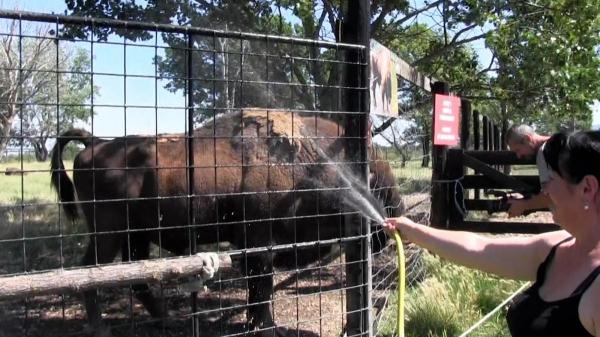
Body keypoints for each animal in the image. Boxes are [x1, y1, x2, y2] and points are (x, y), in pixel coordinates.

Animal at [50, 109, 404, 334]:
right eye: (373, 179)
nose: (392, 217)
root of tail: (96, 142)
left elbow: (258, 290)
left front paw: (256, 324)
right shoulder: (259, 245)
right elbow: (262, 288)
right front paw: (268, 328)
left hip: (135, 236)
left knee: (136, 278)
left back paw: (166, 320)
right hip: (108, 233)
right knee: (91, 272)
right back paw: (101, 327)